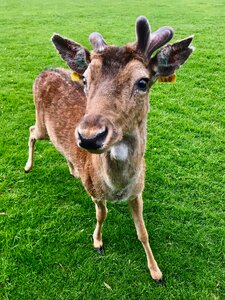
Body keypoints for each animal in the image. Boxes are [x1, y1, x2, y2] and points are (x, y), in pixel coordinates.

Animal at [24, 16, 193, 284]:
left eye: (143, 82)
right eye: (85, 79)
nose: (89, 137)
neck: (116, 188)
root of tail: (43, 71)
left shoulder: (138, 191)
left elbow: (143, 232)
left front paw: (157, 273)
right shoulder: (94, 191)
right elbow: (101, 215)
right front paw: (98, 243)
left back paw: (73, 169)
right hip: (42, 125)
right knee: (31, 131)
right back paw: (28, 166)